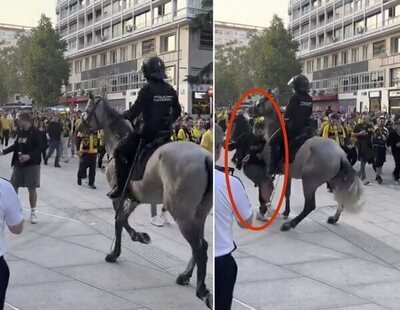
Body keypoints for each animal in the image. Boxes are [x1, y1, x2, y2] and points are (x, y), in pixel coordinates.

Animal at [79, 94, 214, 308]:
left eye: (87, 109)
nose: (79, 128)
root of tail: (205, 158)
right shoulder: (135, 198)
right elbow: (123, 219)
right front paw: (139, 236)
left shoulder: (118, 195)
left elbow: (118, 221)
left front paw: (115, 252)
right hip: (199, 213)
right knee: (202, 244)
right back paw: (185, 275)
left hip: (182, 214)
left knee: (199, 247)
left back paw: (202, 290)